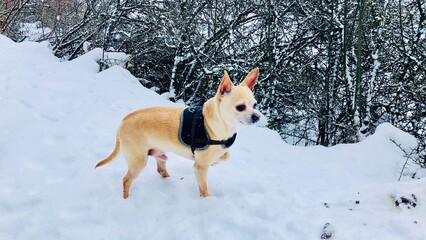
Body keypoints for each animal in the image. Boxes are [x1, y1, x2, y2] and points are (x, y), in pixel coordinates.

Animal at [95, 68, 260, 199]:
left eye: (255, 105)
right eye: (240, 107)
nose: (257, 117)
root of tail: (122, 122)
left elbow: (225, 155)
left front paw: (217, 160)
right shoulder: (200, 167)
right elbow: (204, 188)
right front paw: (208, 199)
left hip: (159, 154)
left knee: (161, 169)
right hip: (138, 161)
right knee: (126, 180)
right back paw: (126, 199)